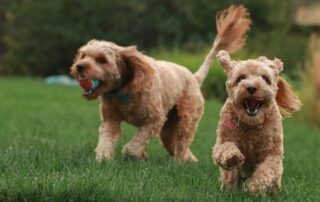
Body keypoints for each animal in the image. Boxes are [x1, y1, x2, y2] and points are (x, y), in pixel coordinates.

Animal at [71, 5, 251, 162]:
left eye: (101, 60)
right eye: (83, 55)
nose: (79, 67)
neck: (124, 91)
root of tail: (194, 77)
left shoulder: (155, 119)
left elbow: (136, 142)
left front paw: (133, 153)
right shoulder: (111, 120)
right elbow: (106, 139)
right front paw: (103, 158)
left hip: (187, 118)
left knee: (182, 141)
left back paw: (181, 160)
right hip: (169, 125)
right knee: (173, 142)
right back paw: (186, 159)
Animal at [212, 50, 300, 194]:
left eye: (265, 79)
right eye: (240, 78)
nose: (252, 88)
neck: (251, 123)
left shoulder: (273, 153)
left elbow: (266, 169)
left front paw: (255, 187)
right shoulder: (221, 141)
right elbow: (225, 147)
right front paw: (233, 156)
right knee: (230, 178)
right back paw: (230, 191)